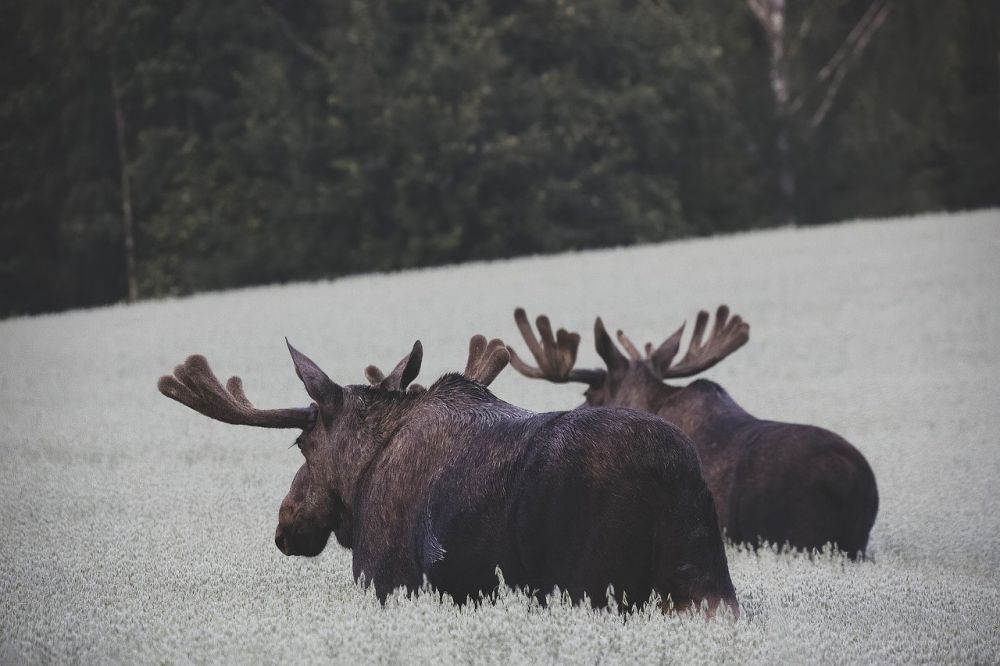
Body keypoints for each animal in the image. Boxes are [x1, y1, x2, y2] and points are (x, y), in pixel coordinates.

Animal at [156, 332, 736, 612]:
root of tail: (675, 479)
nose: (286, 523)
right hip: (705, 586)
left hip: (591, 585)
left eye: (302, 443)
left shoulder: (386, 579)